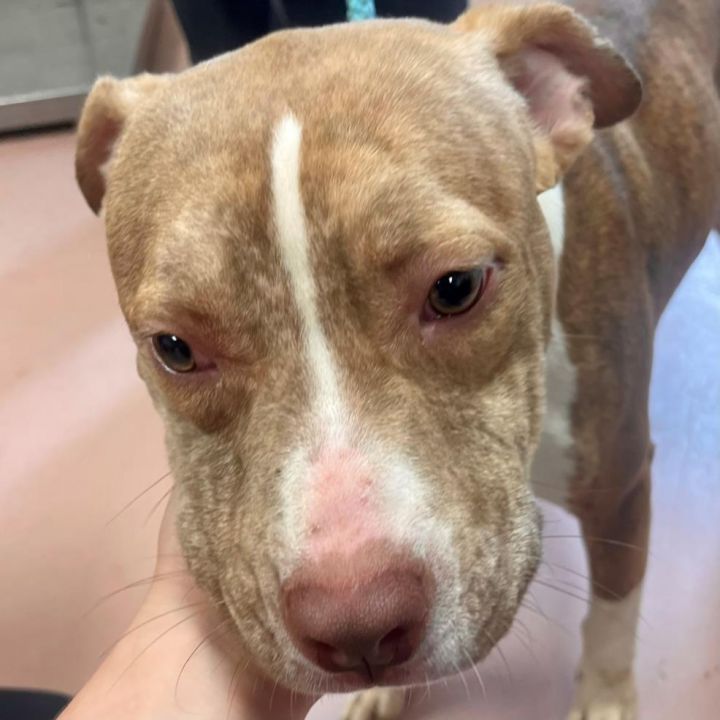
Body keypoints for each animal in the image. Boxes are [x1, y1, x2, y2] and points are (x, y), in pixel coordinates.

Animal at [74, 1, 720, 717]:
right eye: (175, 348)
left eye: (457, 287)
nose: (357, 625)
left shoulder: (622, 489)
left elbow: (612, 610)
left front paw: (605, 697)